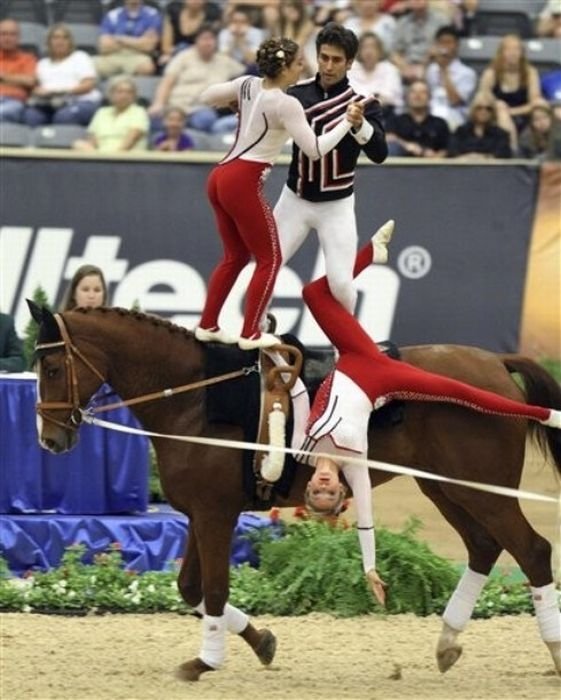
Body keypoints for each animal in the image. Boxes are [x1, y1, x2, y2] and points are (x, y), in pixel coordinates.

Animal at [29, 304, 560, 680]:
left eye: (52, 367)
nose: (49, 439)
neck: (197, 394)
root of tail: (495, 362)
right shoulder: (199, 513)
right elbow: (192, 588)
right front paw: (260, 641)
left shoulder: (215, 514)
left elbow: (215, 589)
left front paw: (207, 661)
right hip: (447, 488)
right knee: (485, 547)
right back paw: (448, 642)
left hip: (484, 490)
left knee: (532, 550)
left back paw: (552, 651)